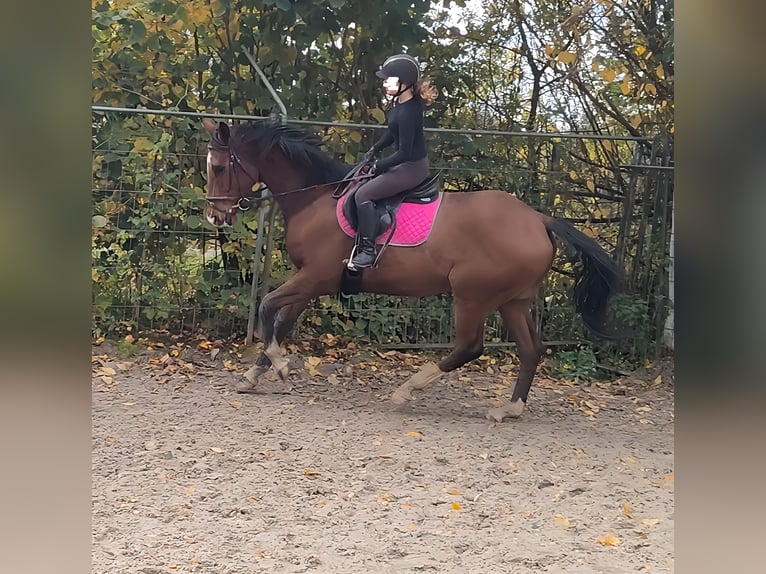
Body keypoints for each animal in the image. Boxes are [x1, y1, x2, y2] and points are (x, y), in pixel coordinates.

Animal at [201, 118, 620, 424]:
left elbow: (268, 307)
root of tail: (539, 219)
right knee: (531, 350)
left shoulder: (314, 277)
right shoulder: (312, 282)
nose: (215, 216)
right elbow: (283, 319)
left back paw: (407, 389)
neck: (316, 198)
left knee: (470, 347)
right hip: (512, 301)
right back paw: (509, 409)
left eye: (219, 167)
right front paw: (256, 374)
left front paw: (280, 365)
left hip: (471, 295)